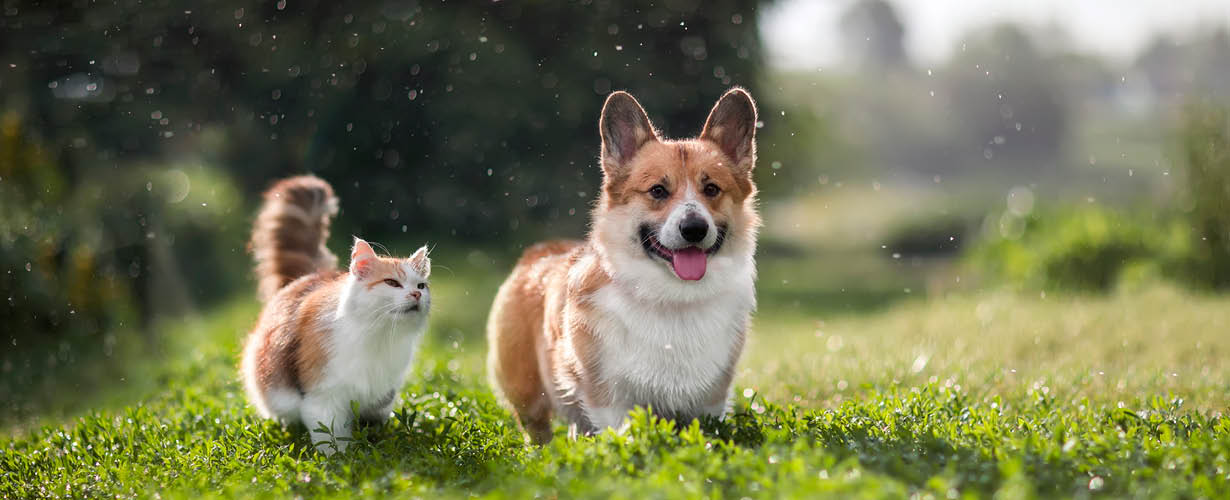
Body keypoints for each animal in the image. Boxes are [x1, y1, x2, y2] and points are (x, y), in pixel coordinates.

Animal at [239, 175, 432, 454]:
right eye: (392, 283)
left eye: (421, 286)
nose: (416, 295)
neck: (379, 335)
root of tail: (309, 276)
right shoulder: (323, 395)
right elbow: (331, 436)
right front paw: (341, 458)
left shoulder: (382, 392)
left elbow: (374, 421)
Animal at [487, 89, 757, 442]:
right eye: (658, 190)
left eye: (711, 189)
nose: (694, 228)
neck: (673, 297)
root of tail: (537, 251)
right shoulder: (607, 396)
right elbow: (620, 434)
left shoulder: (711, 399)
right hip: (528, 394)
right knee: (537, 430)